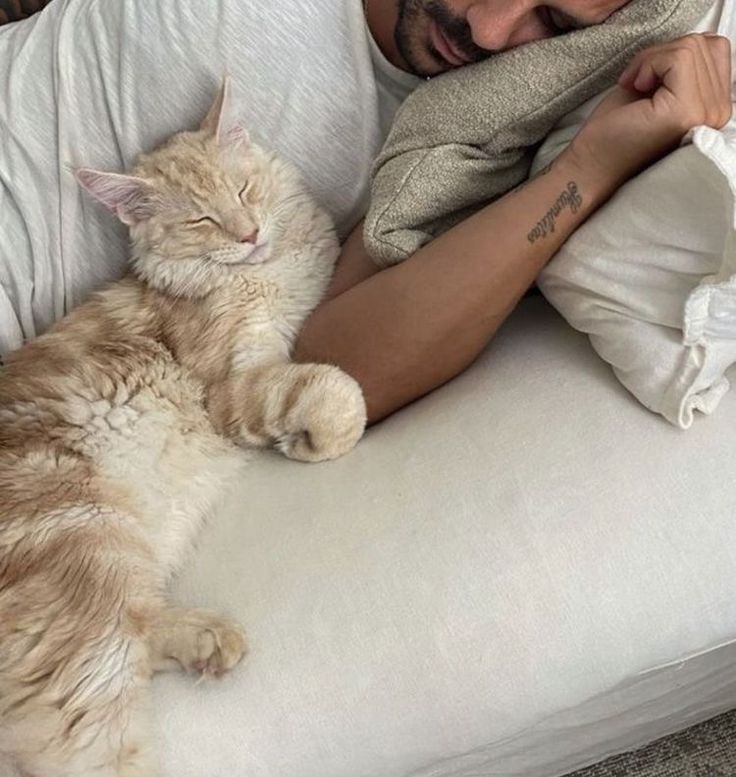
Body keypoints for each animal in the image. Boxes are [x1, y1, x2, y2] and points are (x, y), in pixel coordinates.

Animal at [0, 80, 366, 776]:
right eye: (202, 221)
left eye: (243, 192)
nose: (249, 235)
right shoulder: (231, 385)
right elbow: (332, 392)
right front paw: (317, 437)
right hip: (87, 538)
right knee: (95, 728)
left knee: (141, 632)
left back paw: (210, 641)